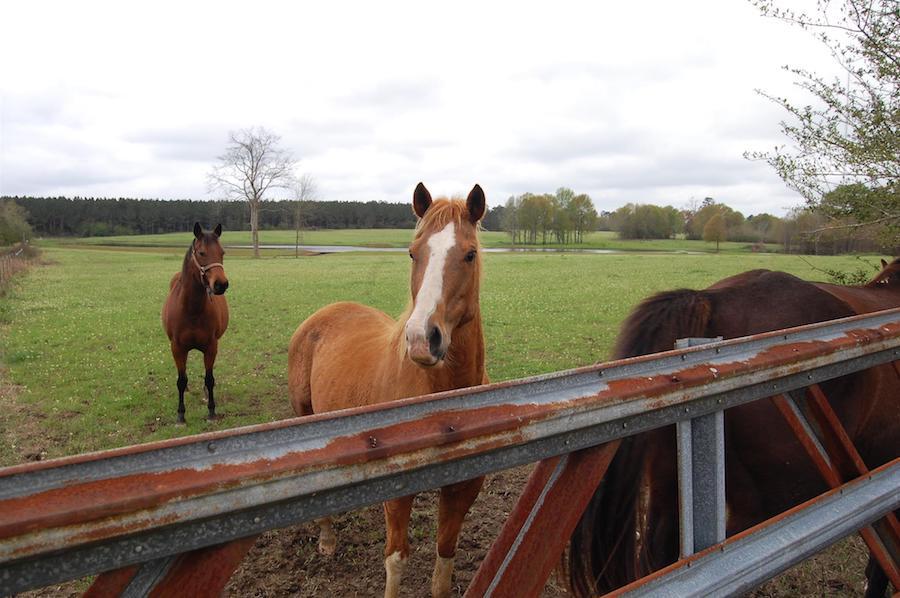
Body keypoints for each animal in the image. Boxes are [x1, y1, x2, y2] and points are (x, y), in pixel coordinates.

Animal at [161, 222, 230, 424]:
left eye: (222, 252)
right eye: (201, 252)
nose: (221, 284)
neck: (191, 310)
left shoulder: (211, 346)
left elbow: (209, 378)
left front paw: (211, 412)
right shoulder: (177, 348)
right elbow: (181, 380)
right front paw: (180, 415)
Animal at [288, 183, 487, 598]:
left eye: (470, 254)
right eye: (413, 252)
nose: (422, 340)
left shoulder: (462, 488)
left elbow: (445, 556)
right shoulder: (400, 491)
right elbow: (396, 559)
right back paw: (327, 541)